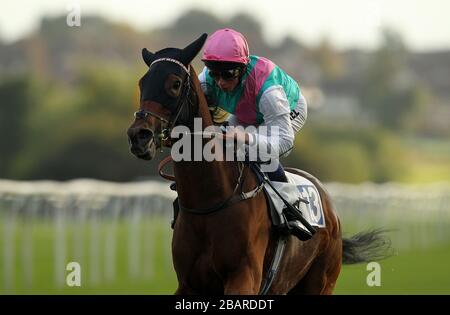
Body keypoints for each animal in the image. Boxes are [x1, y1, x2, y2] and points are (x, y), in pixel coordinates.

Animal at [127, 33, 390, 296]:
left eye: (175, 84)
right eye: (142, 83)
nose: (139, 136)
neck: (209, 202)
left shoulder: (244, 277)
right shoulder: (188, 284)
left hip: (320, 282)